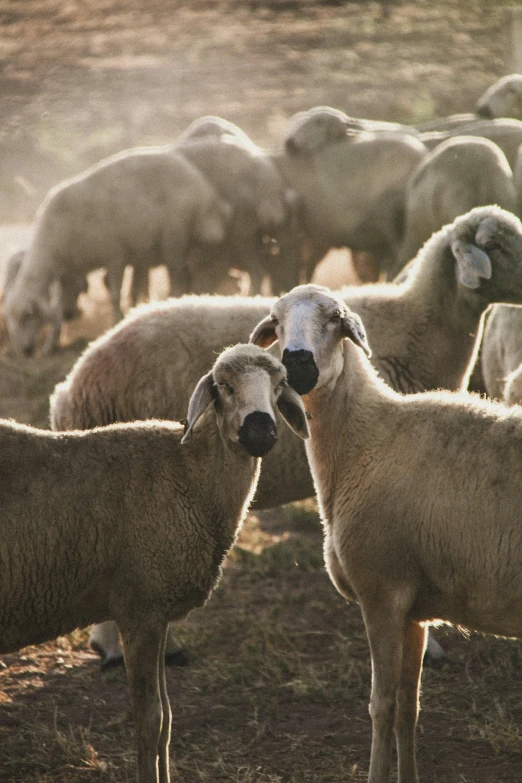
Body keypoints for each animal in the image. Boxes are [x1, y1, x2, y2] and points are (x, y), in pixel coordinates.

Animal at [0, 346, 308, 783]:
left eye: (280, 386)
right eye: (224, 386)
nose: (260, 431)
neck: (188, 471)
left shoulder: (159, 613)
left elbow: (167, 720)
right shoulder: (140, 609)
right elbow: (150, 721)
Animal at [2, 145, 230, 356]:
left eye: (28, 315)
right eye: (11, 319)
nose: (25, 351)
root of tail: (200, 182)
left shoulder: (114, 256)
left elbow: (113, 294)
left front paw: (117, 321)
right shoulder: (69, 273)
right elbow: (58, 306)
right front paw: (51, 344)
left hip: (174, 237)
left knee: (179, 278)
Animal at [247, 284, 520, 783]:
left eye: (335, 318)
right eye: (275, 321)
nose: (297, 362)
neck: (368, 437)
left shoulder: (382, 593)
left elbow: (382, 707)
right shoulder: (414, 609)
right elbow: (409, 709)